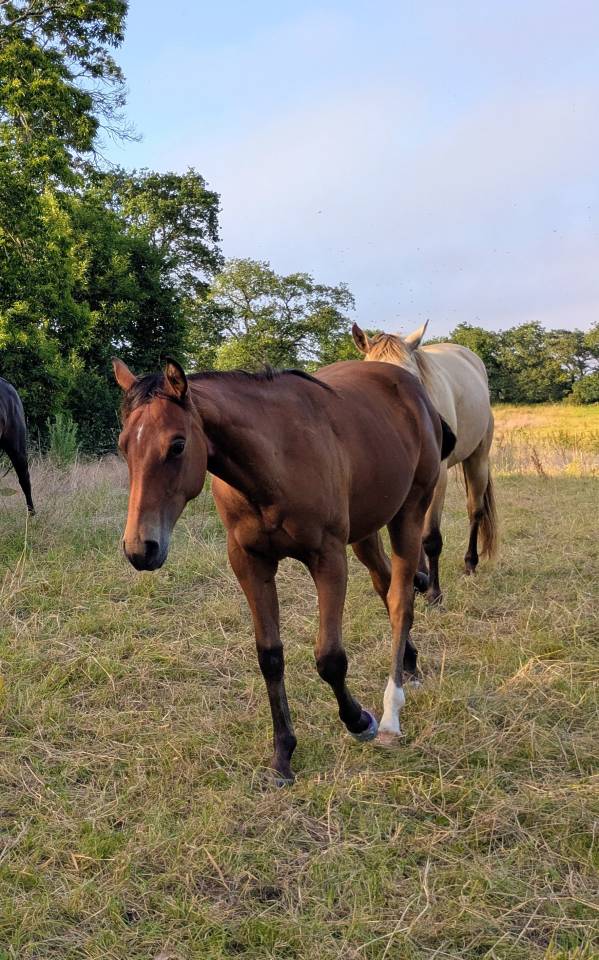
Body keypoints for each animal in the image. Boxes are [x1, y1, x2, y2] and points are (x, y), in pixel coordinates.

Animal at [113, 356, 455, 782]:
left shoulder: (328, 559)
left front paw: (359, 720)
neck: (273, 463)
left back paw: (392, 712)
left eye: (177, 445)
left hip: (408, 516)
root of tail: (414, 390)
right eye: (124, 446)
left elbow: (329, 657)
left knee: (400, 601)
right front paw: (282, 754)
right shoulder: (250, 563)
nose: (140, 548)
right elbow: (270, 657)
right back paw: (409, 663)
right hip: (366, 532)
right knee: (387, 586)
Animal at [352, 321, 497, 604]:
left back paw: (470, 563)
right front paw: (418, 581)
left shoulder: (438, 479)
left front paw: (434, 592)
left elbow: (430, 538)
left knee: (475, 511)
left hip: (478, 460)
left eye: (414, 380)